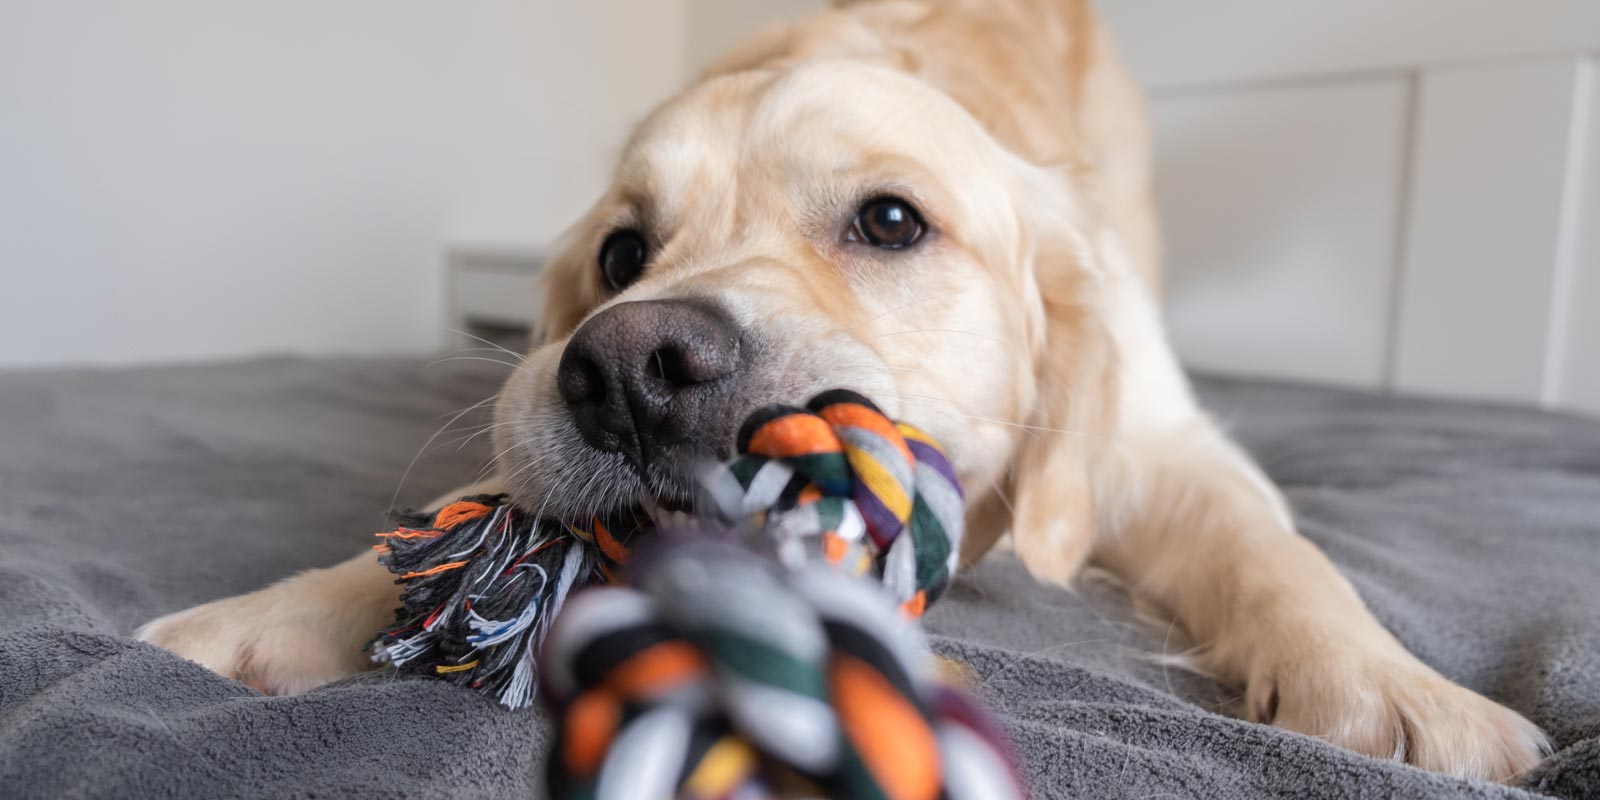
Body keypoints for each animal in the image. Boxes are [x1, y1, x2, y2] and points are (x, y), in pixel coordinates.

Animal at [140, 0, 1548, 784]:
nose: (628, 369)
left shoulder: (1156, 439)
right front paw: (270, 615)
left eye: (889, 220)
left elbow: (1272, 550)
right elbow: (465, 512)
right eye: (619, 254)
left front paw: (1391, 690)